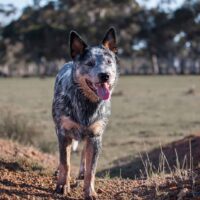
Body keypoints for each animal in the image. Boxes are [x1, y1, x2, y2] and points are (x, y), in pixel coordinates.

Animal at [52, 27, 119, 199]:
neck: (86, 103)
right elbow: (65, 162)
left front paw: (90, 191)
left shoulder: (95, 135)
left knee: (84, 153)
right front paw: (62, 186)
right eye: (90, 63)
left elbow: (91, 169)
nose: (105, 75)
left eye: (109, 62)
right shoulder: (64, 132)